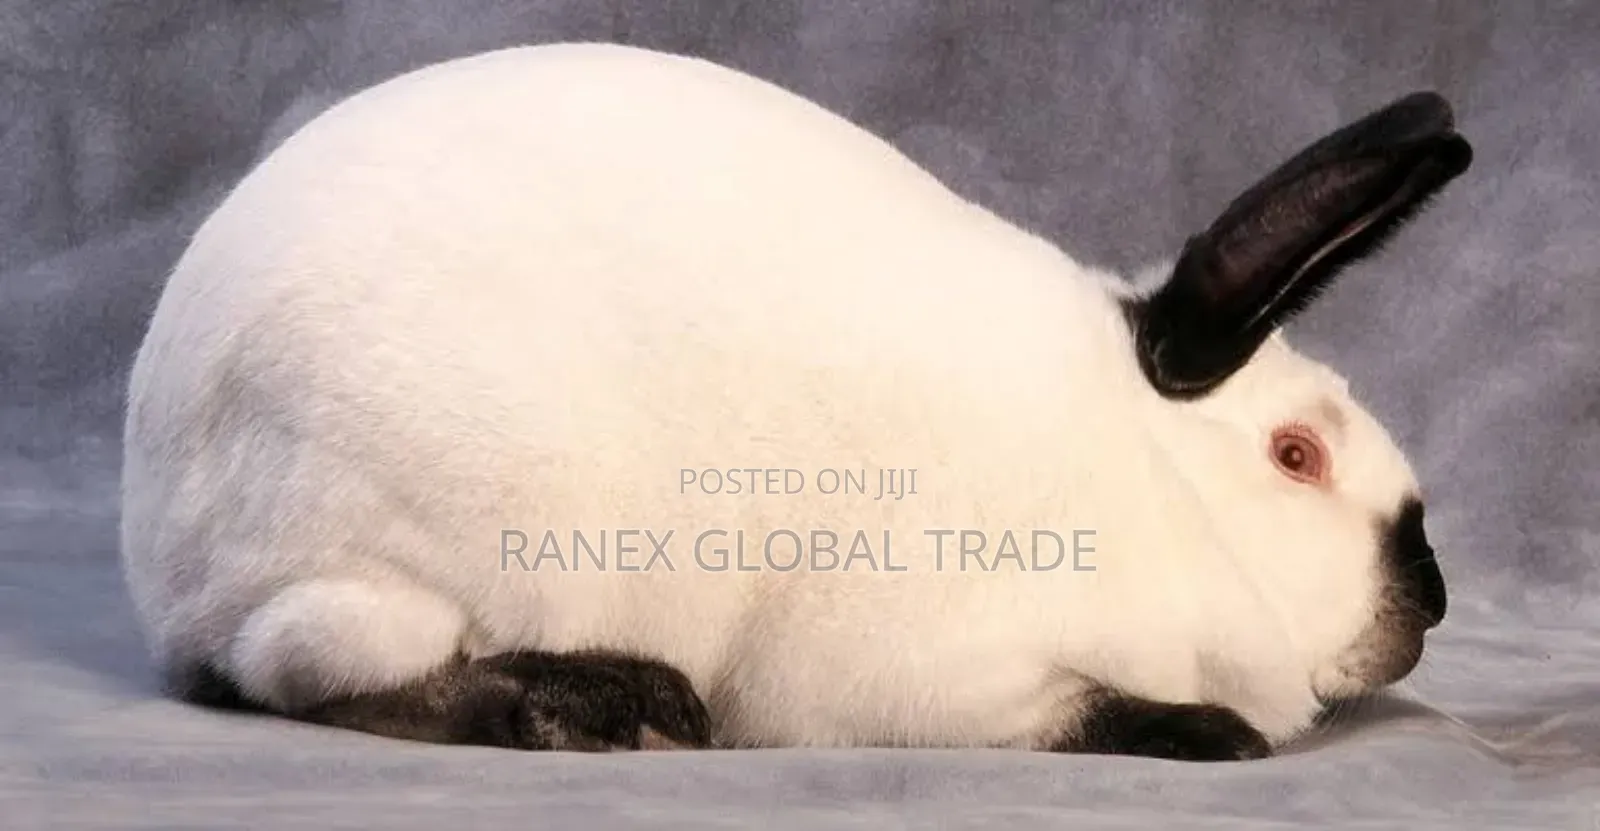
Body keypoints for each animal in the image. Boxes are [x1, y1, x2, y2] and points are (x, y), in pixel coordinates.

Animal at [118, 41, 1469, 762]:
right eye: (1296, 456)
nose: (1431, 598)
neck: (1150, 475)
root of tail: (162, 543)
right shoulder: (929, 671)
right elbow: (1077, 710)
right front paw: (1211, 733)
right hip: (427, 545)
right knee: (308, 671)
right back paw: (602, 705)